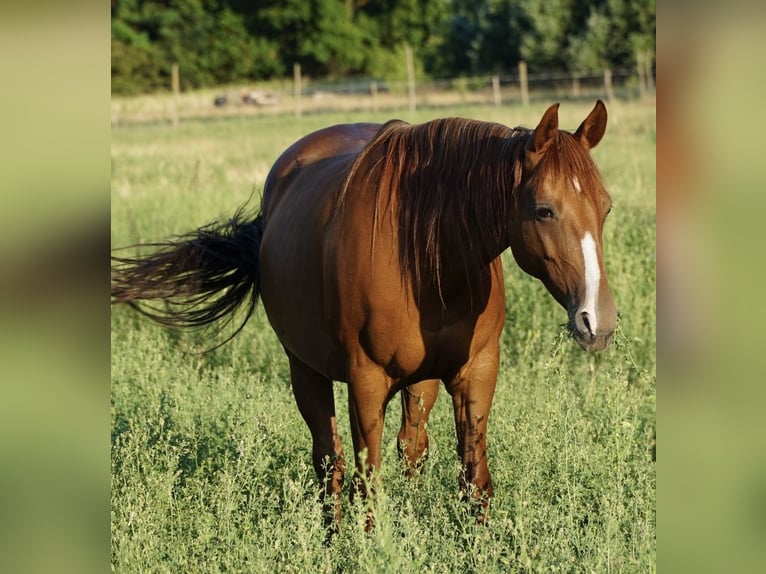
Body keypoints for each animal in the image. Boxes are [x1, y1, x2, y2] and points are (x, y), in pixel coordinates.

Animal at [111, 100, 617, 530]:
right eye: (544, 210)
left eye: (605, 206)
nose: (598, 322)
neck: (429, 251)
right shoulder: (366, 380)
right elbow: (367, 480)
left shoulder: (476, 370)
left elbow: (474, 478)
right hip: (306, 369)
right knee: (328, 458)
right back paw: (331, 535)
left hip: (421, 379)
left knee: (411, 447)